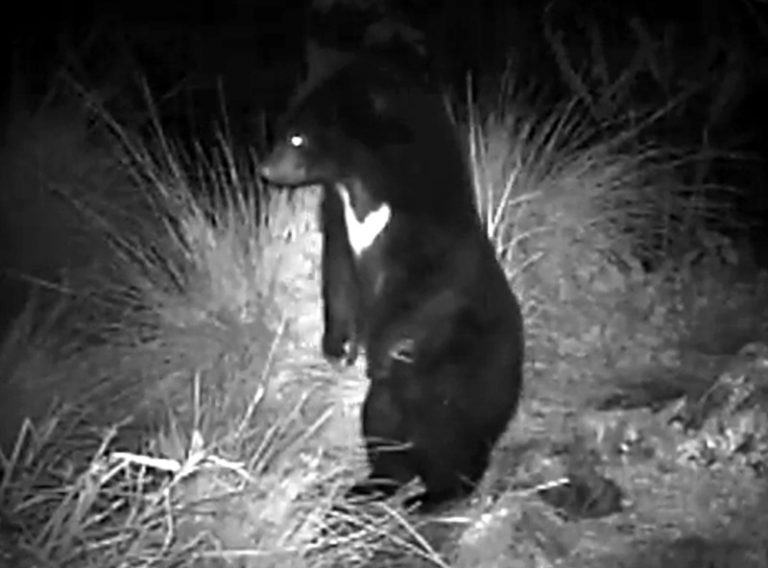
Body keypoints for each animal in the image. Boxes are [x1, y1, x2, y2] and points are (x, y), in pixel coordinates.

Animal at [258, 56, 524, 513]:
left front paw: (375, 353)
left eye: (296, 138)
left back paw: (438, 494)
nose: (266, 169)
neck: (364, 184)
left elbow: (423, 286)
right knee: (382, 424)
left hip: (463, 375)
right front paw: (338, 348)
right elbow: (338, 273)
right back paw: (374, 485)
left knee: (447, 433)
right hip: (397, 401)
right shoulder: (340, 219)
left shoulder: (428, 232)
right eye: (283, 132)